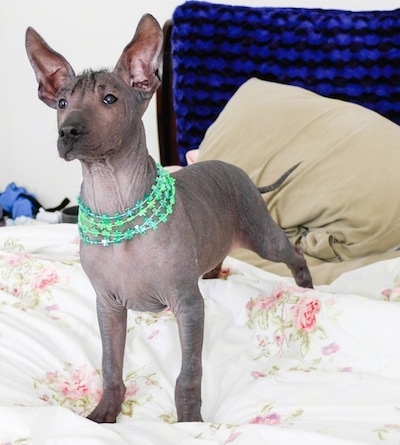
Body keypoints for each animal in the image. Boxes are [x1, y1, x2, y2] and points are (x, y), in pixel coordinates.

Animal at [25, 13, 312, 424]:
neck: (117, 208)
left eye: (109, 99)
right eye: (62, 102)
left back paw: (306, 287)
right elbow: (110, 365)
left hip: (262, 236)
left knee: (292, 253)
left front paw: (190, 422)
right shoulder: (108, 307)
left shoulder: (189, 307)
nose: (68, 131)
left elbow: (188, 373)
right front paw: (105, 411)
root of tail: (239, 172)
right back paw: (212, 272)